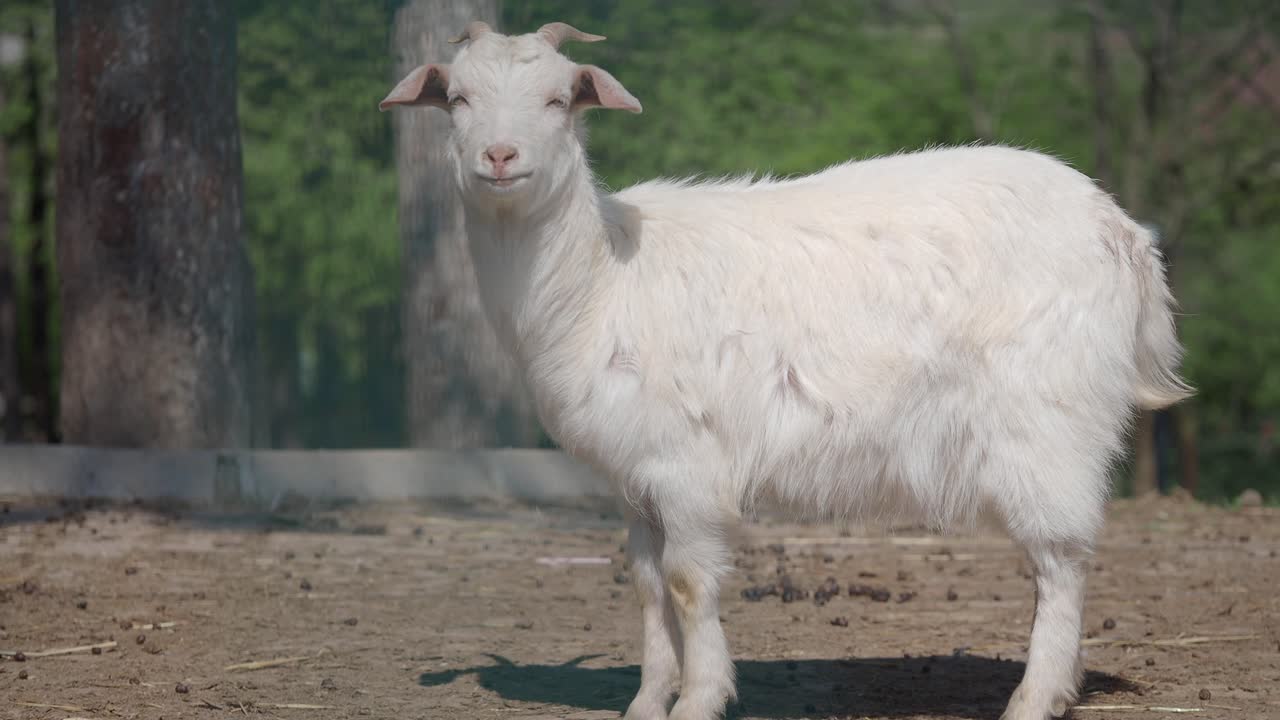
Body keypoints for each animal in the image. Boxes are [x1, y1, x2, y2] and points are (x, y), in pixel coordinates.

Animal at [380, 21, 1192, 720]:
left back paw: (1035, 697)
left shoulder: (686, 465)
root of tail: (1126, 234)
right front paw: (647, 701)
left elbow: (688, 584)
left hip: (1049, 426)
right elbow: (645, 586)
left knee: (1061, 562)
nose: (500, 158)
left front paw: (700, 700)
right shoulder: (636, 477)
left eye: (558, 99)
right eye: (457, 99)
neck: (601, 276)